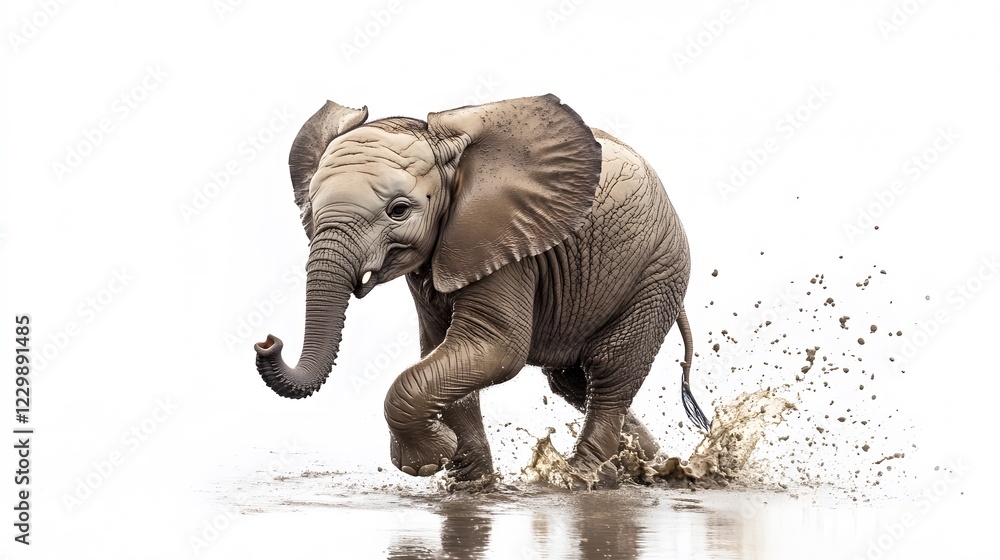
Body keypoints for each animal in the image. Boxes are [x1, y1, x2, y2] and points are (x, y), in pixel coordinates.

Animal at [254, 94, 710, 485]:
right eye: (310, 208)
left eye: (398, 210)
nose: (267, 341)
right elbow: (442, 350)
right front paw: (469, 482)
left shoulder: (507, 245)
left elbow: (495, 349)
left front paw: (424, 461)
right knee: (573, 383)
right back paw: (651, 468)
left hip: (659, 271)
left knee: (610, 371)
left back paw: (581, 478)